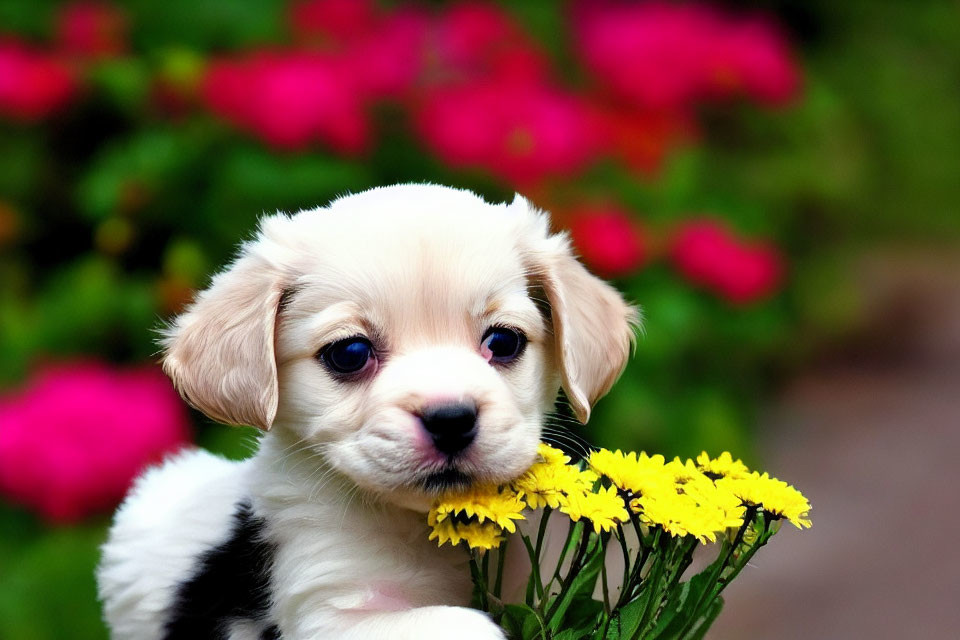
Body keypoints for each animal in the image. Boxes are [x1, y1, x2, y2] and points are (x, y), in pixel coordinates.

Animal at [97, 185, 636, 640]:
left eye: (503, 342)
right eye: (350, 353)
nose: (451, 419)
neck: (425, 532)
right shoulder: (332, 611)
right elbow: (459, 624)